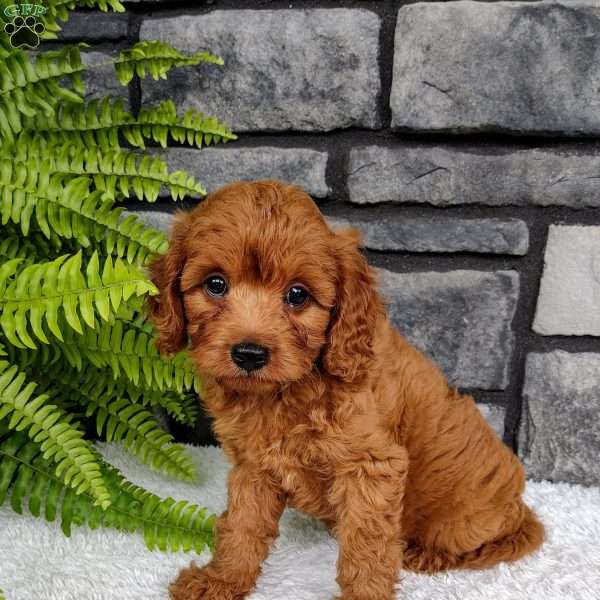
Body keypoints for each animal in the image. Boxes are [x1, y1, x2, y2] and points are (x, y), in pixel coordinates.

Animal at [149, 180, 544, 600]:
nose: (250, 354)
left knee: (492, 542)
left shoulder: (372, 466)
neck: (285, 392)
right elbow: (242, 525)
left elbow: (366, 547)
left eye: (298, 295)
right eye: (215, 284)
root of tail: (520, 505)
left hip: (462, 523)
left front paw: (364, 593)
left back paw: (425, 553)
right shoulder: (253, 466)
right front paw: (222, 580)